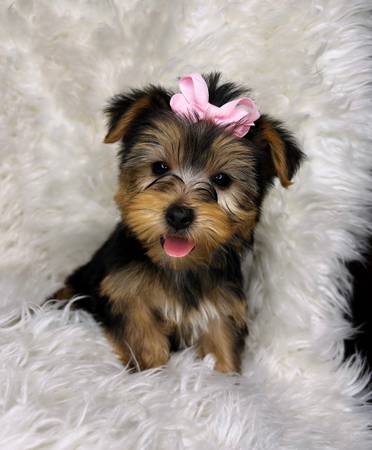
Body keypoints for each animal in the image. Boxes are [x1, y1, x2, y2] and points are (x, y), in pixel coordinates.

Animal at [51, 72, 302, 372]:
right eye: (159, 167)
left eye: (222, 180)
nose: (179, 215)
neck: (178, 268)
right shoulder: (125, 295)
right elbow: (143, 338)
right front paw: (152, 371)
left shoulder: (220, 308)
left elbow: (222, 346)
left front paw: (227, 376)